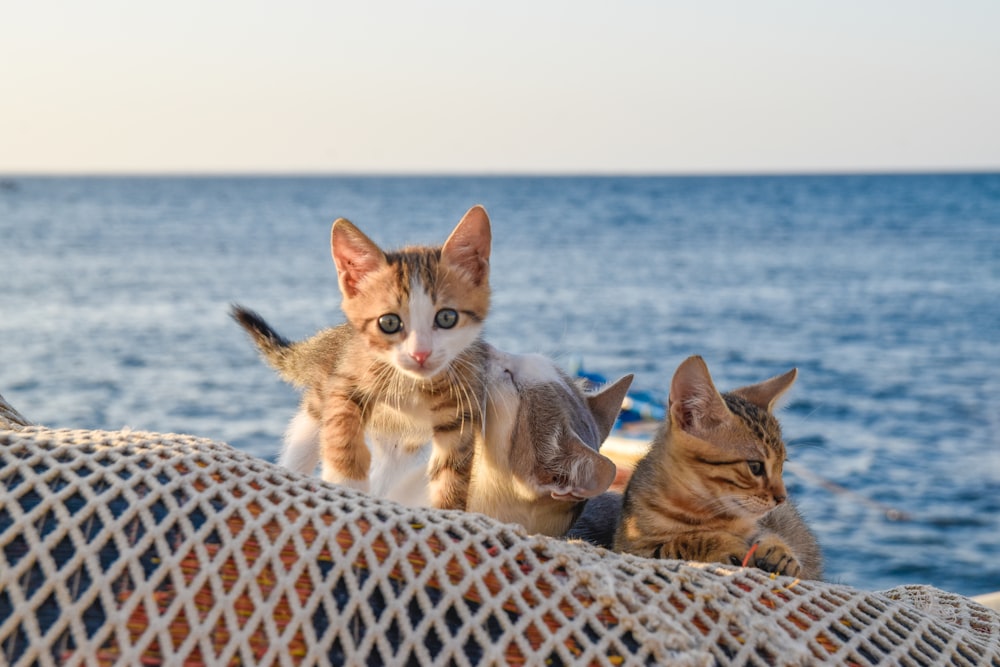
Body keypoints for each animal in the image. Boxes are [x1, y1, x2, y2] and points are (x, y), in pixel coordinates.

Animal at [230, 207, 492, 512]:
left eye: (447, 317)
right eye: (389, 322)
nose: (420, 354)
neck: (411, 382)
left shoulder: (463, 402)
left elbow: (452, 468)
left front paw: (447, 510)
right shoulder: (345, 380)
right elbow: (342, 431)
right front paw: (347, 485)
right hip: (317, 402)